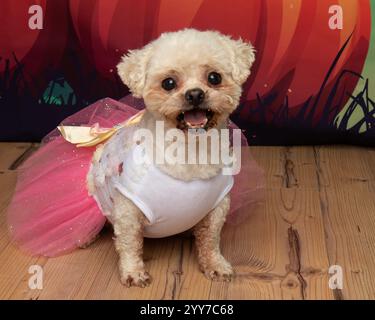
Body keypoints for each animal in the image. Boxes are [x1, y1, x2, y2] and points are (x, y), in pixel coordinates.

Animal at [87, 28, 256, 288]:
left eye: (214, 78)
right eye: (168, 83)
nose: (195, 94)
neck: (190, 152)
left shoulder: (218, 207)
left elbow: (211, 240)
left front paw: (215, 264)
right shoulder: (127, 210)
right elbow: (129, 244)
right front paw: (133, 272)